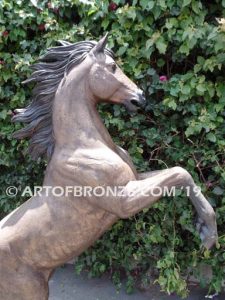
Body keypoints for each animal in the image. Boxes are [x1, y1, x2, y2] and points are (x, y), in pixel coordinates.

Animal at [0, 35, 218, 300]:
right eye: (113, 66)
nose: (140, 98)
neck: (84, 144)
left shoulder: (134, 179)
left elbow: (178, 174)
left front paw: (204, 229)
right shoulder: (122, 201)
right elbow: (180, 172)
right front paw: (209, 235)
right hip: (28, 291)